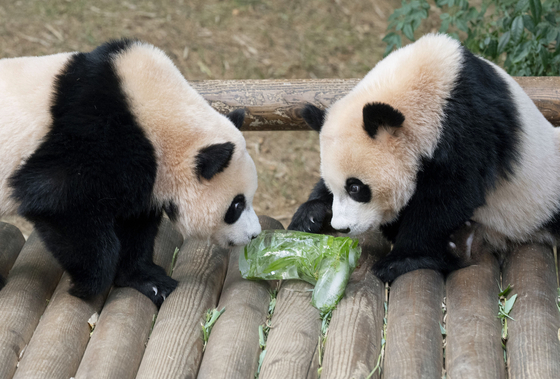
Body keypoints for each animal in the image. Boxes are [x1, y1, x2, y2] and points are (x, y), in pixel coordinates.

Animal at [0, 39, 262, 306]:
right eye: (237, 205)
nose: (254, 234)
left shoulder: (144, 175)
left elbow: (135, 226)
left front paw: (149, 281)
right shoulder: (94, 135)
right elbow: (55, 199)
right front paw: (88, 285)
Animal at [288, 32, 560, 284]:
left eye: (355, 187)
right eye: (334, 187)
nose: (342, 227)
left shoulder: (470, 128)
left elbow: (449, 196)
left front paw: (401, 259)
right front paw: (310, 215)